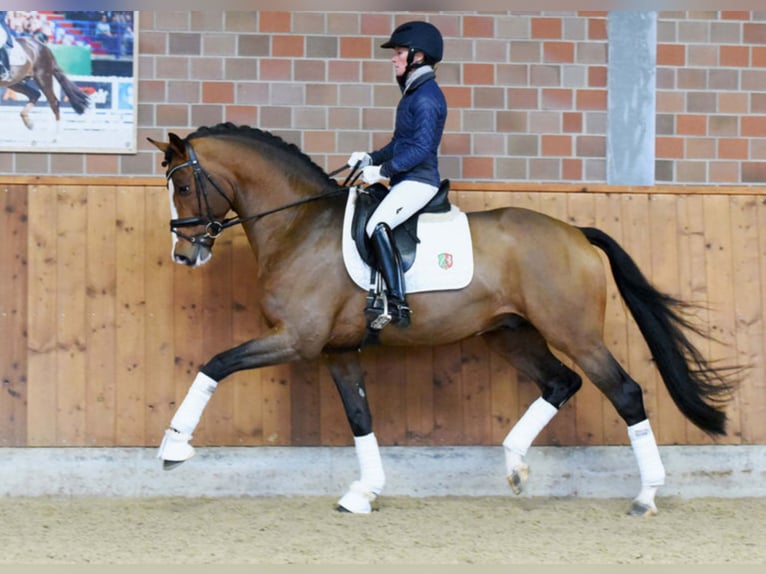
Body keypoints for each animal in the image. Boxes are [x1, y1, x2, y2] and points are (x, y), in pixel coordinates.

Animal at [147, 124, 740, 520]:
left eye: (183, 187)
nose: (184, 255)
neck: (300, 225)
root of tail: (575, 233)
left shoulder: (297, 340)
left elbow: (215, 364)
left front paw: (174, 448)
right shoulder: (337, 351)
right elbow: (360, 418)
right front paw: (365, 492)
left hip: (574, 333)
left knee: (625, 392)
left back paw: (645, 496)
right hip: (512, 335)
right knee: (560, 383)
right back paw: (515, 466)